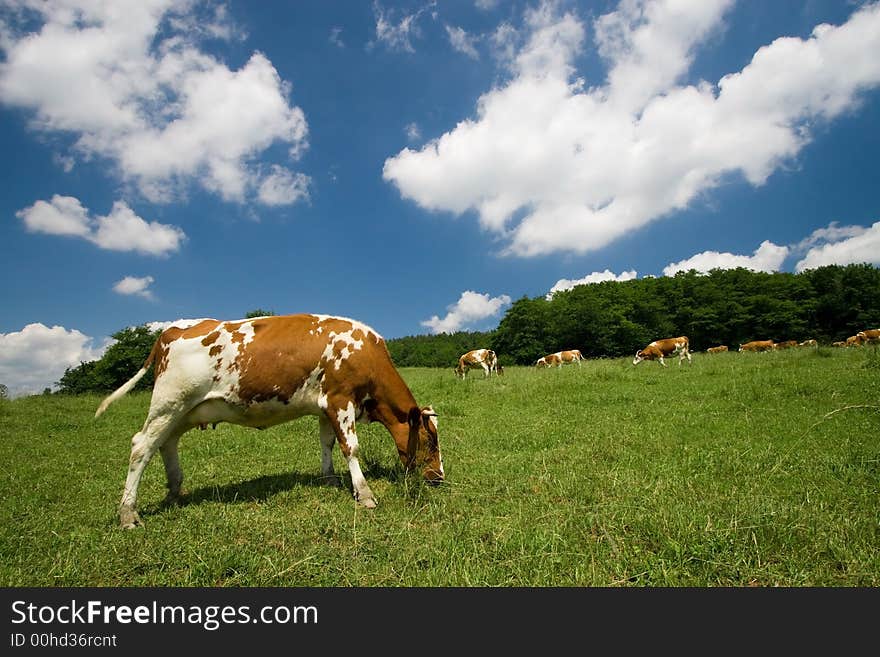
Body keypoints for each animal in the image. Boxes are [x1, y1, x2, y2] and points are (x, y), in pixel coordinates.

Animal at [94, 312, 446, 528]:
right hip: (169, 402)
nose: (438, 478)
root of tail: (171, 328)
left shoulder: (325, 406)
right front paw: (364, 494)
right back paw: (128, 513)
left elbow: (328, 443)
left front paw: (330, 479)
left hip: (183, 411)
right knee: (142, 446)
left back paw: (174, 491)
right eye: (430, 441)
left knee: (166, 443)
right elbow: (351, 447)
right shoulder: (340, 398)